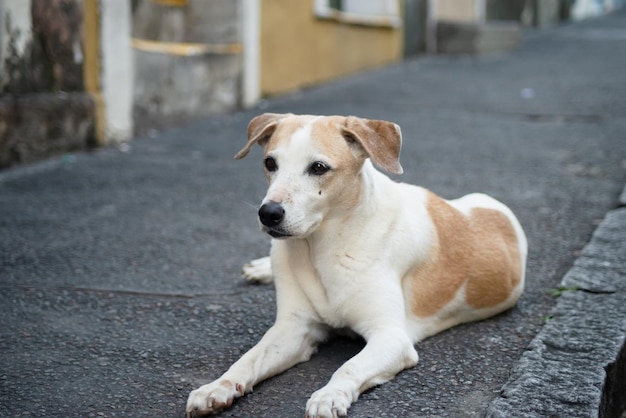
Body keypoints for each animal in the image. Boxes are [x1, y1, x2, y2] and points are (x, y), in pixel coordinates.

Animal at [186, 112, 528, 416]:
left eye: (319, 167)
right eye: (270, 163)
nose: (268, 213)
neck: (321, 248)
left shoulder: (391, 337)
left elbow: (348, 368)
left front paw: (329, 395)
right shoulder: (294, 328)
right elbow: (249, 359)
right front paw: (216, 387)